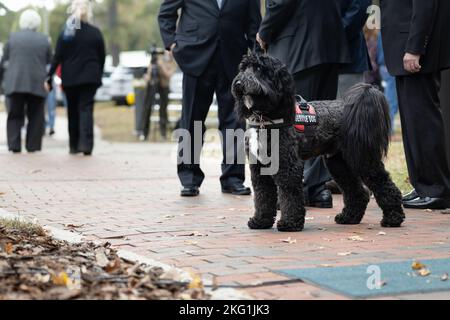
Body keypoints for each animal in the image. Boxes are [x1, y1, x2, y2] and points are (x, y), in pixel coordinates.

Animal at [232, 53, 404, 231]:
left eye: (259, 68)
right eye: (243, 68)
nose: (238, 83)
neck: (265, 118)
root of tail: (351, 107)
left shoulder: (289, 166)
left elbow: (289, 195)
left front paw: (290, 223)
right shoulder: (259, 168)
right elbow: (263, 196)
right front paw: (261, 221)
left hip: (363, 159)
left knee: (384, 184)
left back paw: (393, 218)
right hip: (339, 163)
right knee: (357, 192)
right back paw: (349, 218)